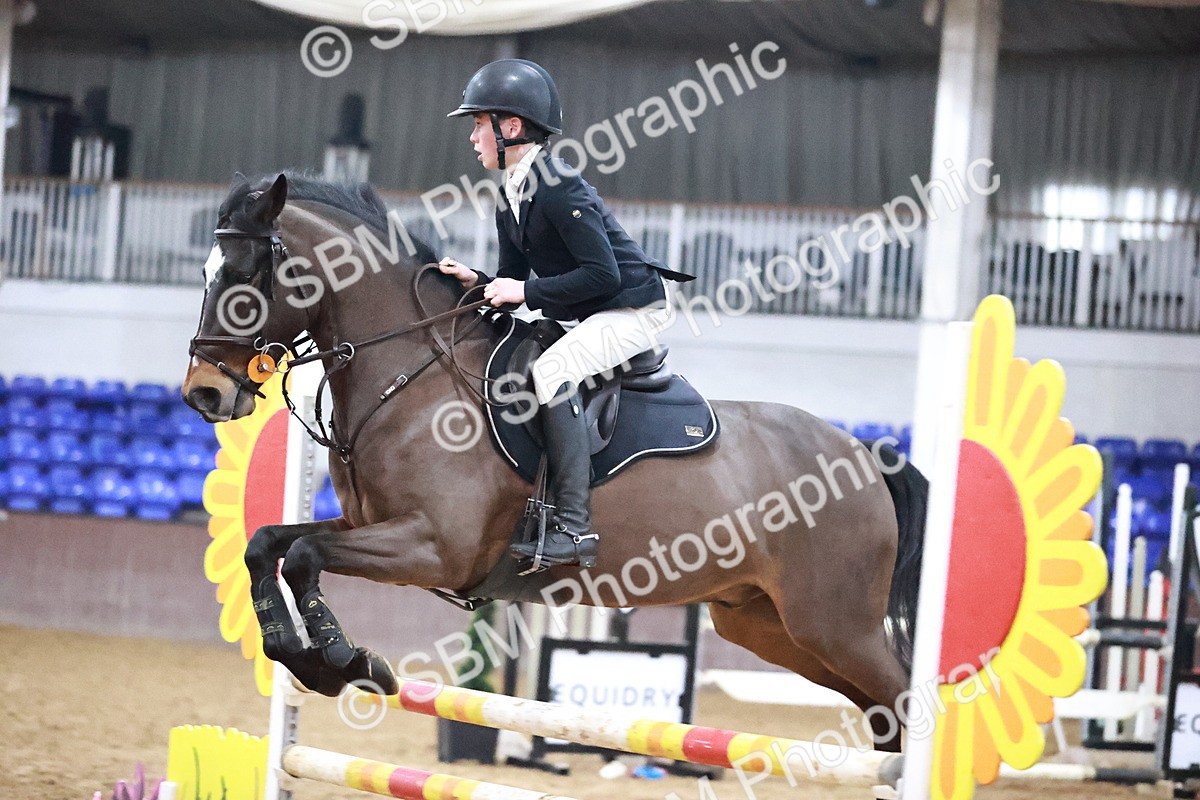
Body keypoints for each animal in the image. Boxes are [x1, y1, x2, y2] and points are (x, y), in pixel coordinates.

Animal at [181, 173, 929, 752]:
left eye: (245, 276)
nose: (203, 393)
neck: (409, 373)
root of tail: (863, 457)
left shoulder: (434, 546)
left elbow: (304, 556)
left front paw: (341, 658)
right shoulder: (370, 524)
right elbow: (269, 544)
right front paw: (312, 657)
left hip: (834, 625)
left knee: (903, 703)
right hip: (768, 625)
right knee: (883, 718)